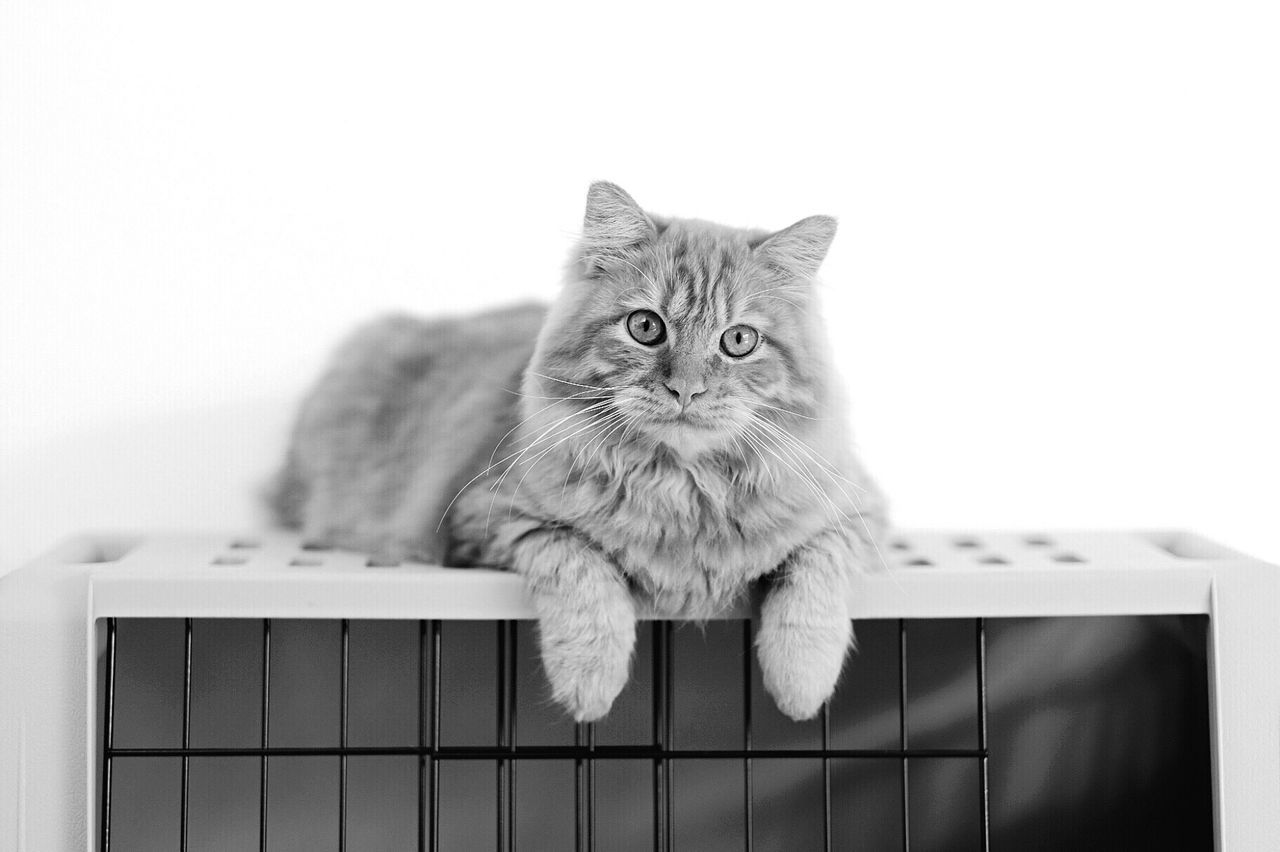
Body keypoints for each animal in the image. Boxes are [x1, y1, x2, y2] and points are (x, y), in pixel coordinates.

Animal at [270, 182, 890, 721]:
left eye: (739, 341)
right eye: (646, 327)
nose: (686, 390)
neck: (681, 487)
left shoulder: (857, 514)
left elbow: (813, 583)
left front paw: (800, 688)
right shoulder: (494, 519)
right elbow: (583, 570)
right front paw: (590, 687)